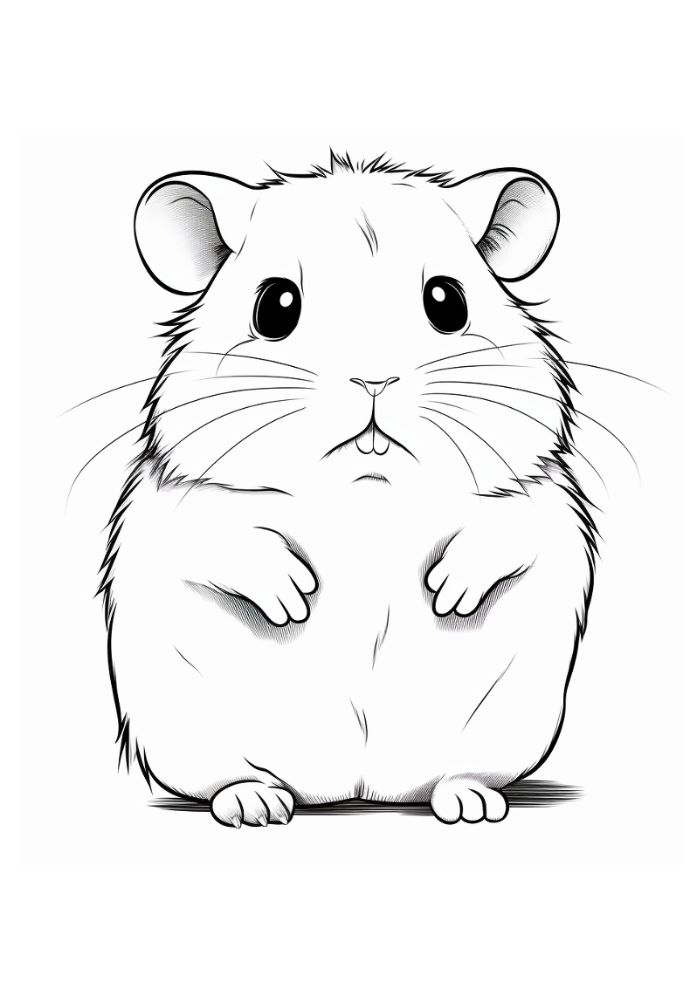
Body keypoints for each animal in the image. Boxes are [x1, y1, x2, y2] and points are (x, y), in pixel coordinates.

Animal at [100, 151, 596, 826]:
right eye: (275, 307)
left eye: (448, 302)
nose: (373, 380)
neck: (367, 493)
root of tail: (357, 792)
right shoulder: (182, 500)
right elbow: (215, 536)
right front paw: (291, 596)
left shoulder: (536, 489)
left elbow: (511, 528)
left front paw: (450, 591)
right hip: (184, 727)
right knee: (221, 777)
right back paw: (255, 803)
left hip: (509, 725)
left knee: (461, 775)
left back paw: (470, 802)